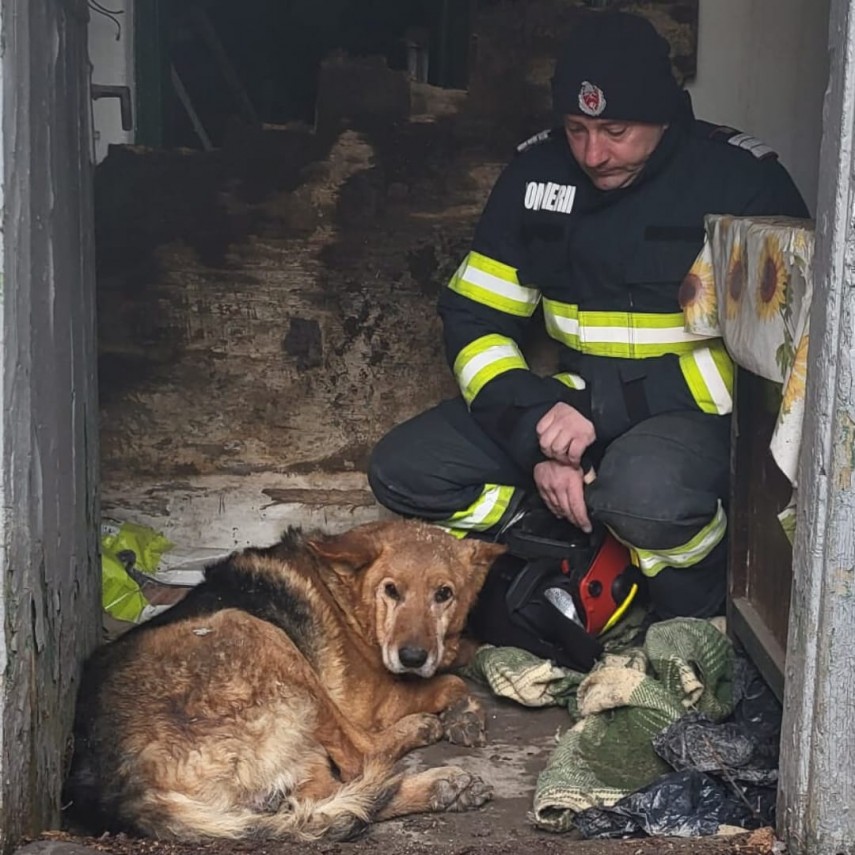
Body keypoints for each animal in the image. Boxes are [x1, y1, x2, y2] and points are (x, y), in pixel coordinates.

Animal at [67, 520, 508, 844]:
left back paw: (440, 790)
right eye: (391, 590)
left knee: (329, 799)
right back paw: (431, 757)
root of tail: (125, 788)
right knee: (359, 761)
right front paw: (463, 711)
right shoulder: (372, 700)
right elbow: (447, 683)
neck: (346, 593)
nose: (413, 657)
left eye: (444, 594)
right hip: (256, 631)